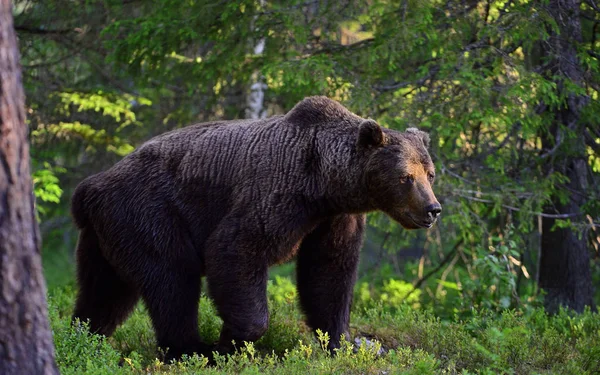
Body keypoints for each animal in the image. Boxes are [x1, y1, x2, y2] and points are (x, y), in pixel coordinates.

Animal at [71, 96, 440, 362]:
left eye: (430, 173)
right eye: (406, 176)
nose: (432, 209)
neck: (323, 185)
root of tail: (91, 187)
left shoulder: (334, 220)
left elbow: (329, 274)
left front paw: (347, 341)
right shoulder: (274, 194)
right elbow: (235, 248)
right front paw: (231, 341)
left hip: (107, 236)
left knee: (104, 293)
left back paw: (84, 335)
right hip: (149, 213)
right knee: (172, 278)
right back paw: (192, 349)